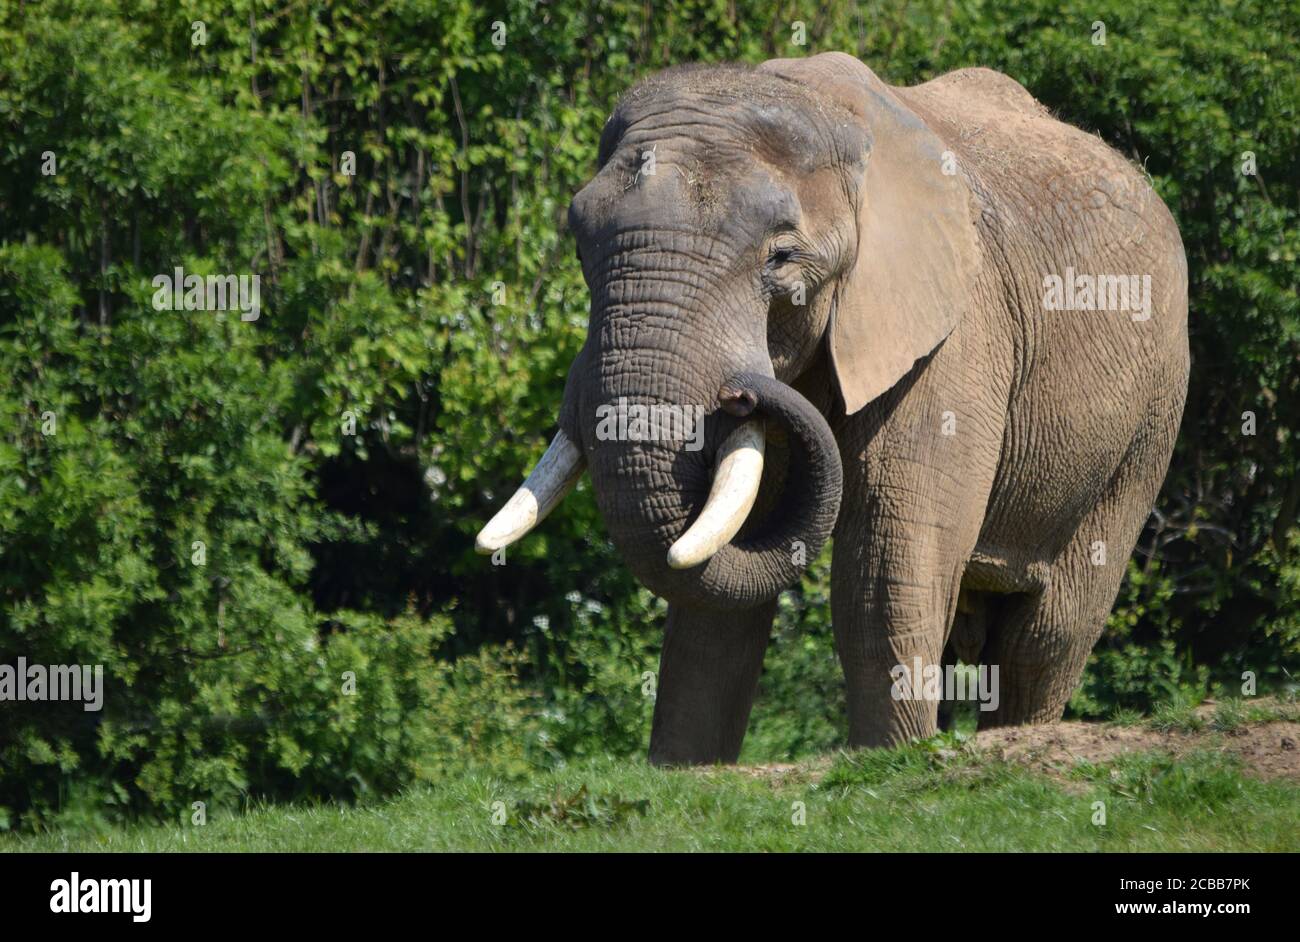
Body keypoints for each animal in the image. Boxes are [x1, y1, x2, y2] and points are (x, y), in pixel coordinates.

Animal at [475, 51, 1190, 763]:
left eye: (782, 259)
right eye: (579, 242)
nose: (742, 393)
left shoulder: (952, 338)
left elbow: (884, 578)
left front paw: (892, 759)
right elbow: (712, 618)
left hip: (1153, 413)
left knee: (1045, 636)